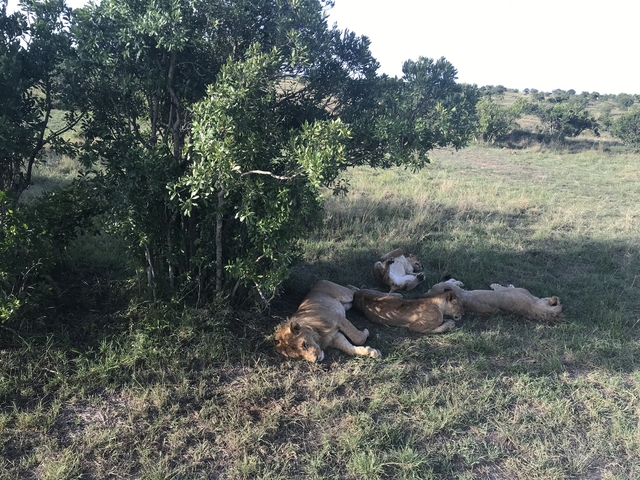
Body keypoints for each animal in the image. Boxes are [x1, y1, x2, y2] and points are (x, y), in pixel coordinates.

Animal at [422, 279, 562, 321]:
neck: (534, 308)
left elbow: (500, 287)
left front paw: (495, 285)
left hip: (448, 288)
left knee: (445, 282)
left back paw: (457, 282)